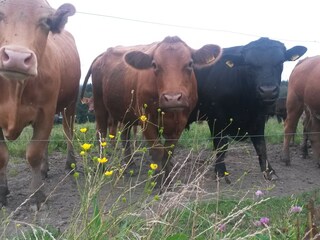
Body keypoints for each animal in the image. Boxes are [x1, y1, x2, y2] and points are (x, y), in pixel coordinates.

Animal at [0, 0, 80, 210]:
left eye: (46, 22)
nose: (17, 58)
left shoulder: (46, 112)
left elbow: (33, 153)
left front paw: (37, 196)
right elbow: (2, 156)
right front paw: (2, 193)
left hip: (70, 104)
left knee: (68, 132)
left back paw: (70, 164)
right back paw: (45, 169)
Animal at [82, 36, 221, 188]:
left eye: (190, 64)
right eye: (154, 65)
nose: (172, 98)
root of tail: (103, 54)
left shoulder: (180, 123)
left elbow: (168, 152)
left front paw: (168, 181)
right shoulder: (146, 121)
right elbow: (157, 151)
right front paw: (158, 182)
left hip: (126, 113)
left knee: (125, 136)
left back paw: (130, 164)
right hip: (100, 105)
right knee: (101, 134)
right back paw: (101, 167)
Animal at [188, 37, 308, 183]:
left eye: (280, 62)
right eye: (249, 65)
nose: (268, 91)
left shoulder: (259, 117)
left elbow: (261, 144)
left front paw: (269, 171)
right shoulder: (216, 117)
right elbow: (221, 144)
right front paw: (221, 172)